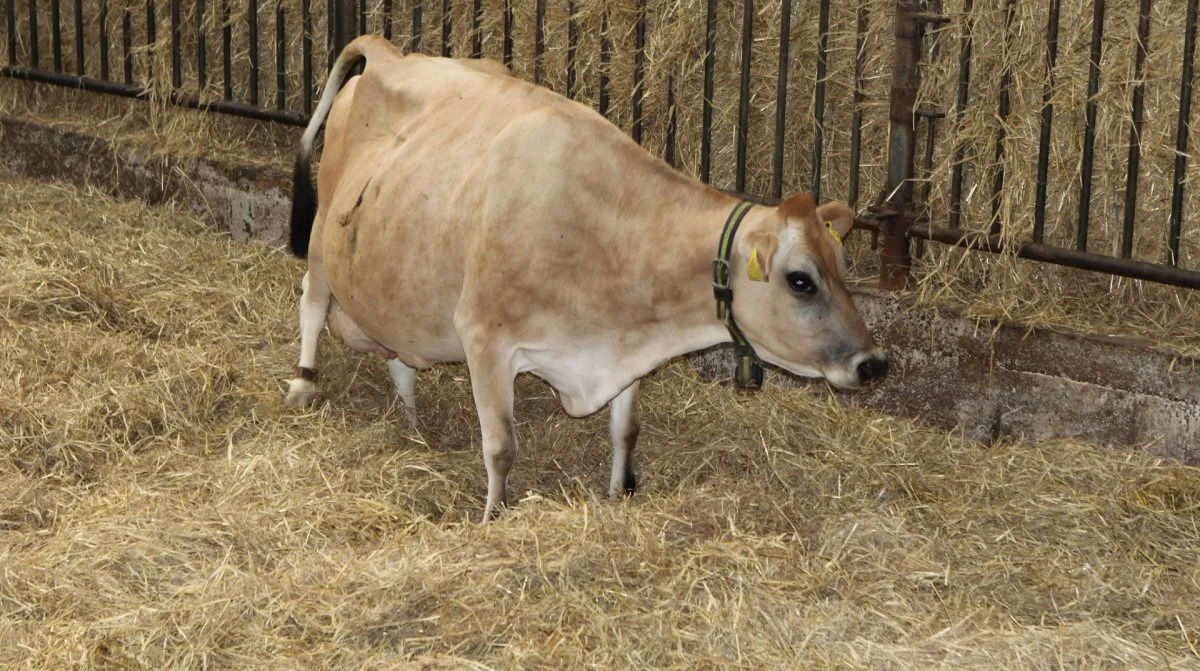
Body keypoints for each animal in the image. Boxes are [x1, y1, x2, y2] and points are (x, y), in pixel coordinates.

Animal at [278, 34, 883, 523]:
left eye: (844, 267)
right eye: (801, 280)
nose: (873, 363)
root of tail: (391, 53)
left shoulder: (626, 343)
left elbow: (625, 430)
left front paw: (619, 492)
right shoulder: (484, 335)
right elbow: (501, 445)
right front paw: (492, 516)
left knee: (398, 349)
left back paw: (409, 417)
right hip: (322, 230)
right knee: (311, 299)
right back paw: (305, 382)